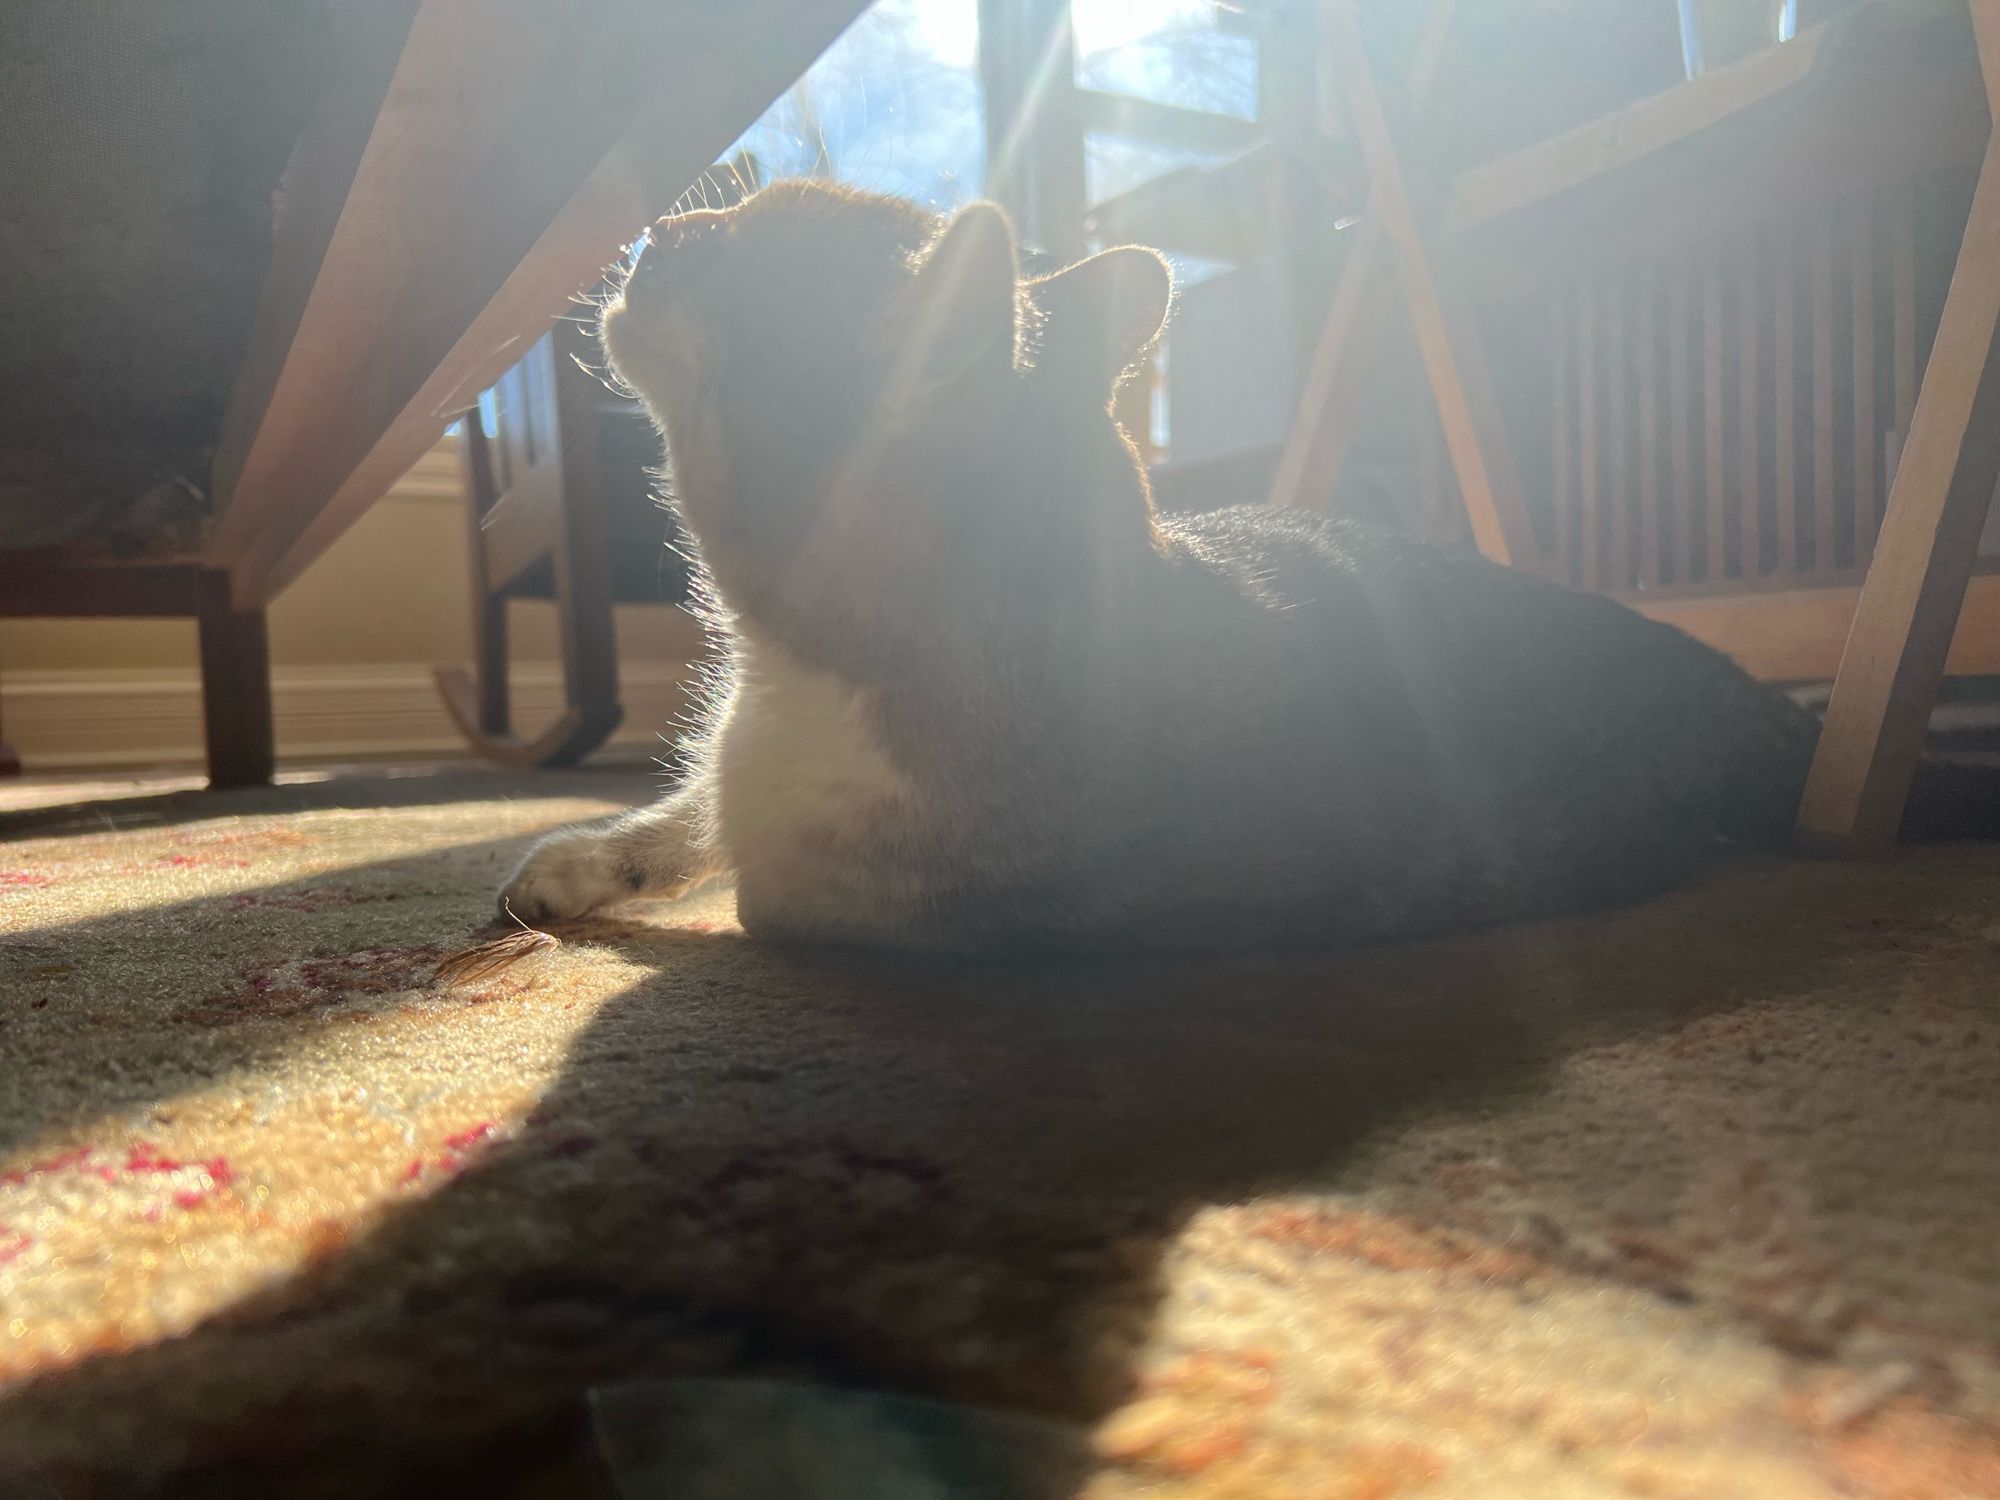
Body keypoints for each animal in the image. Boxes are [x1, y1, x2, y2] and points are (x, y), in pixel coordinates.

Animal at [496, 176, 1984, 952]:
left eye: (738, 254)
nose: (652, 229)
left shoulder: (831, 890)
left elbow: (750, 877)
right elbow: (677, 818)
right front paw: (578, 862)